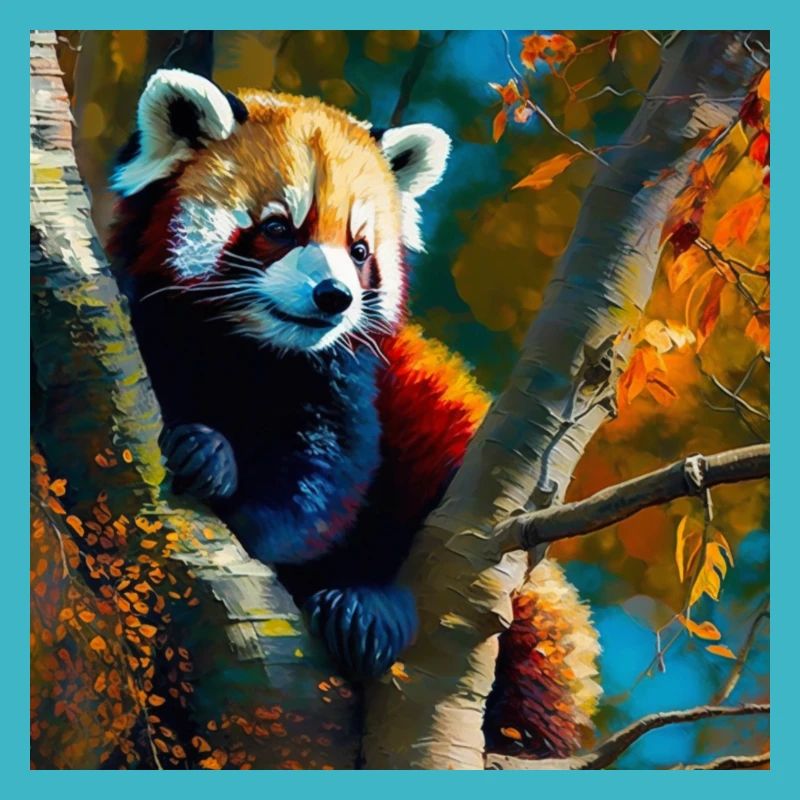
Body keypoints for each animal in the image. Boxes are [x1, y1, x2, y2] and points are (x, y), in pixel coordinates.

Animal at [109, 68, 601, 759]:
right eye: (278, 228)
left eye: (360, 249)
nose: (333, 296)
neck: (247, 350)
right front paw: (207, 452)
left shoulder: (347, 382)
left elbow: (322, 490)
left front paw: (235, 497)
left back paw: (371, 611)